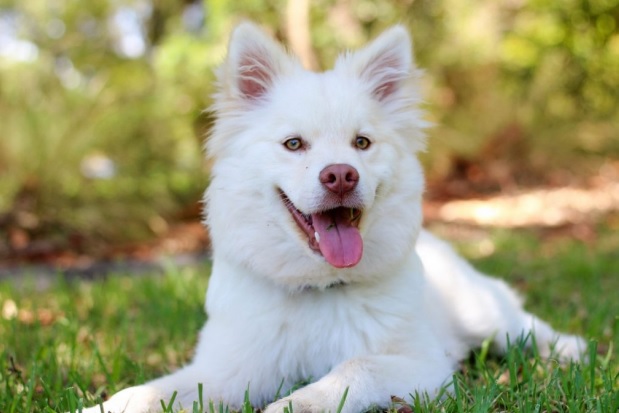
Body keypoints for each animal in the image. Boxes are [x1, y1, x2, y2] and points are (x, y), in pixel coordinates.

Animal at [81, 23, 588, 412]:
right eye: (293, 144)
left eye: (361, 143)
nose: (341, 175)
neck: (317, 289)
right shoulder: (225, 370)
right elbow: (147, 392)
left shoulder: (423, 365)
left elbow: (350, 370)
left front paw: (291, 405)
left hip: (483, 313)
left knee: (524, 327)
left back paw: (570, 349)